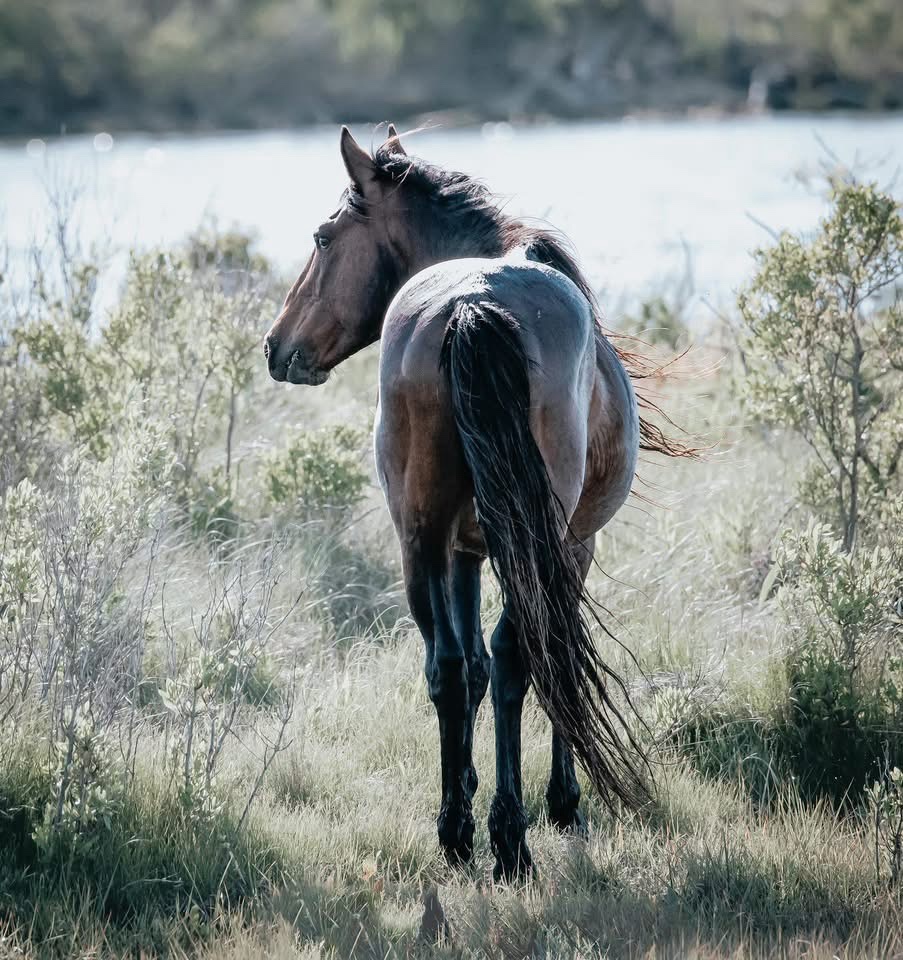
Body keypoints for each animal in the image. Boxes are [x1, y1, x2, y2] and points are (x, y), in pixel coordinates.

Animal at [264, 124, 688, 880]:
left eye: (321, 237)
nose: (274, 345)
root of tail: (472, 305)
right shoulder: (569, 546)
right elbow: (545, 659)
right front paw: (562, 801)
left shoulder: (461, 548)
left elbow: (473, 669)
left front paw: (466, 785)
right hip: (527, 542)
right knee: (518, 655)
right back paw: (508, 837)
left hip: (419, 537)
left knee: (449, 668)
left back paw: (456, 830)